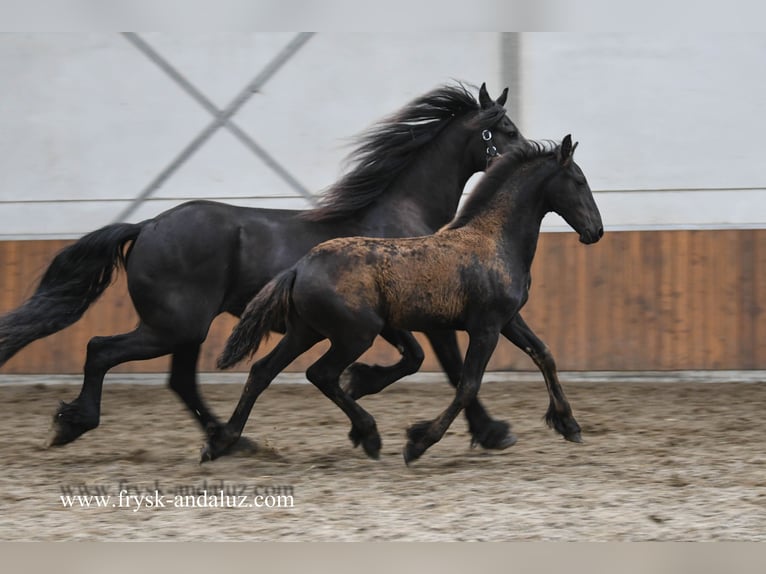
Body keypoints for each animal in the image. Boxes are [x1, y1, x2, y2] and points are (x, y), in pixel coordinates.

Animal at [0, 82, 525, 450]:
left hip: (187, 330)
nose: (527, 156)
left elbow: (427, 365)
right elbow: (451, 369)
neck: (405, 216)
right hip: (173, 327)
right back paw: (75, 424)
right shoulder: (425, 321)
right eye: (505, 131)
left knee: (180, 381)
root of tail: (147, 225)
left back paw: (232, 441)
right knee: (101, 350)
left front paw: (365, 400)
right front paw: (491, 432)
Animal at [209, 135, 603, 464]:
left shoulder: (508, 320)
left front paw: (569, 425)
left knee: (263, 371)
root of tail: (299, 267)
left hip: (305, 331)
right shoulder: (486, 327)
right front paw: (418, 442)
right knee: (320, 374)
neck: (493, 241)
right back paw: (369, 435)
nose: (596, 231)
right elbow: (467, 384)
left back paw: (221, 442)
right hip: (354, 335)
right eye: (579, 181)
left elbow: (544, 354)